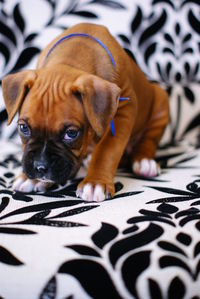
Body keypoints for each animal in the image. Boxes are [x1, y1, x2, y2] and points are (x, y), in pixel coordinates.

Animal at [2, 22, 170, 202]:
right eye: (24, 128)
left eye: (71, 133)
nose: (40, 167)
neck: (72, 57)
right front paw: (30, 179)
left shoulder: (123, 110)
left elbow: (107, 149)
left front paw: (95, 182)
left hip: (161, 100)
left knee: (148, 141)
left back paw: (144, 162)